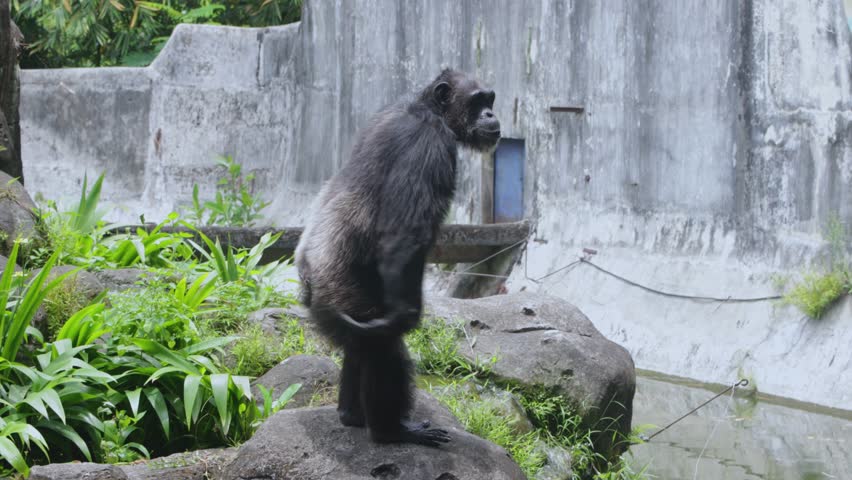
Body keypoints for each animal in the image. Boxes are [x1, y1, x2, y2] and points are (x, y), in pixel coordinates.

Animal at [294, 68, 501, 447]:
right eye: (478, 101)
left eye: (489, 100)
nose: (491, 114)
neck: (431, 111)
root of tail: (306, 278)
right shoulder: (428, 146)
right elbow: (404, 235)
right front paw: (407, 314)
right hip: (341, 291)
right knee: (382, 348)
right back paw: (391, 430)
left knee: (360, 348)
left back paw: (351, 415)